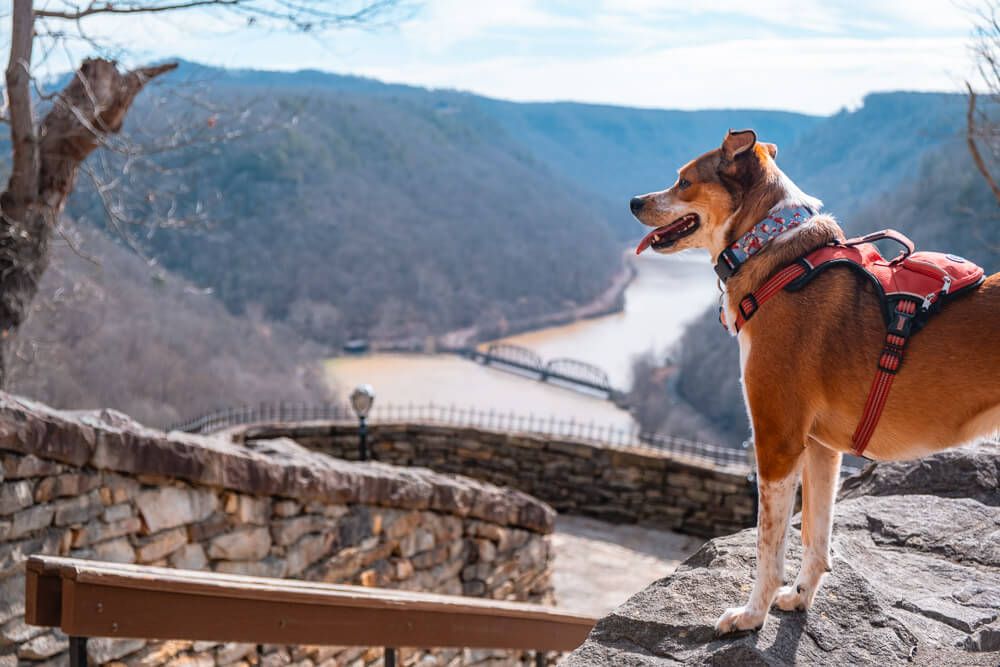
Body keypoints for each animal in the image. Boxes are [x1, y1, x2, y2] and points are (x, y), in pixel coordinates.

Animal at [632, 129, 1000, 636]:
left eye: (684, 181)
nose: (634, 201)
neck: (770, 251)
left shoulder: (777, 440)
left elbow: (769, 545)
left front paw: (752, 614)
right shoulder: (822, 447)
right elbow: (815, 534)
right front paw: (800, 598)